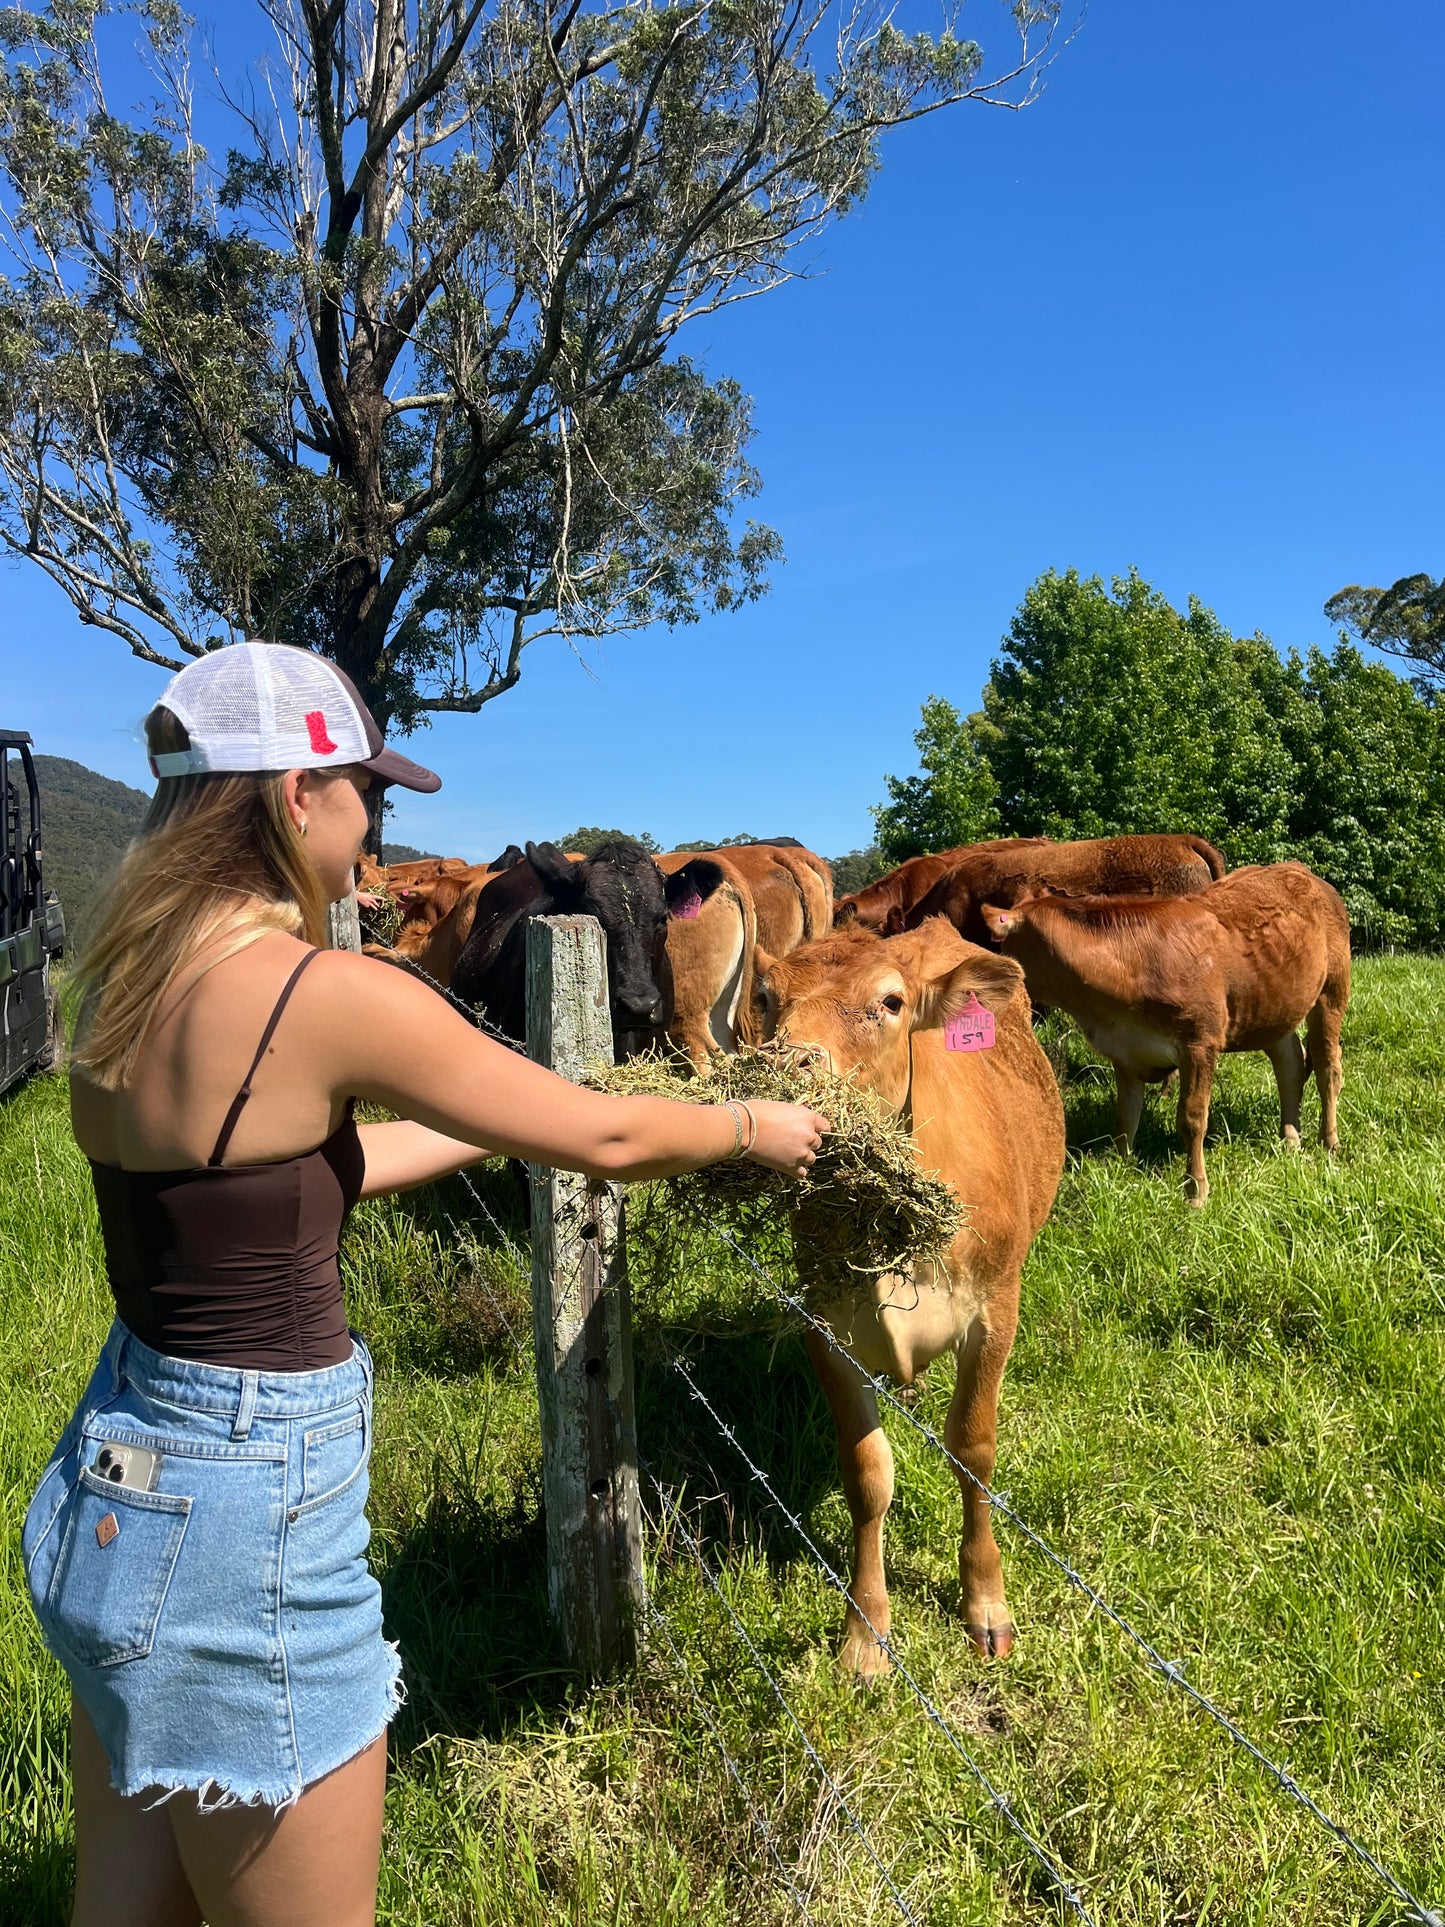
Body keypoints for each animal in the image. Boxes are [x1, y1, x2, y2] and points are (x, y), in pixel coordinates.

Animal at [759, 917, 1063, 1672]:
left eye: (890, 1002)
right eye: (765, 996)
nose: (786, 1066)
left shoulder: (994, 1308)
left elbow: (973, 1450)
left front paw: (985, 1602)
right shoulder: (824, 1323)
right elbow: (867, 1474)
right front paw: (865, 1632)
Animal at [986, 863, 1356, 1202]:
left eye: (1000, 946)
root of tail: (1303, 872)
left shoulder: (1199, 1042)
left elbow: (1192, 1118)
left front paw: (1195, 1190)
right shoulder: (1124, 1049)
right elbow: (1125, 1117)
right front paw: (1119, 1168)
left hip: (1332, 992)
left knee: (1327, 1068)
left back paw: (1329, 1142)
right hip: (1275, 1004)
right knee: (1290, 1065)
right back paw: (1290, 1139)